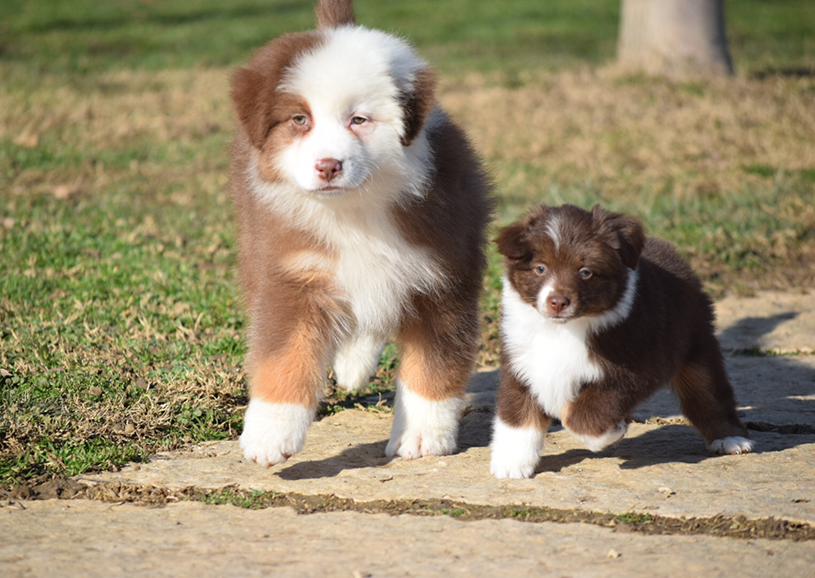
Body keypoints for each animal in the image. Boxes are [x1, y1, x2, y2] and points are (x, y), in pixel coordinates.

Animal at [233, 0, 494, 464]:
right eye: (300, 119)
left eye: (359, 119)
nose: (328, 165)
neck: (354, 210)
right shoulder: (291, 272)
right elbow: (284, 354)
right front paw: (269, 434)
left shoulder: (442, 276)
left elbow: (432, 365)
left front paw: (422, 436)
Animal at [490, 202, 752, 476]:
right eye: (540, 268)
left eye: (585, 272)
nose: (558, 302)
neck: (562, 330)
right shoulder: (521, 362)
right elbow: (516, 415)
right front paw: (511, 463)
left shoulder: (632, 370)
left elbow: (580, 415)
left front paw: (610, 433)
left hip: (696, 344)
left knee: (709, 392)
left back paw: (731, 439)